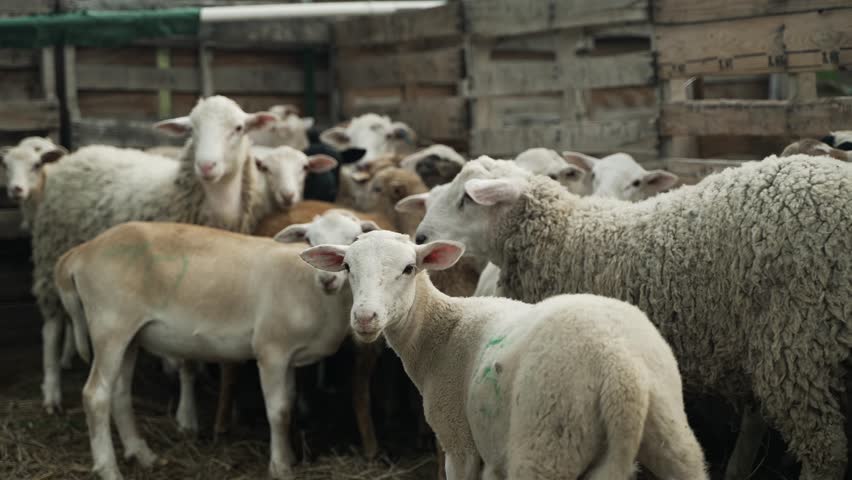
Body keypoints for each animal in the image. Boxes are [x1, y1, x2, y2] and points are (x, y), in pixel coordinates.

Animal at [31, 95, 280, 414]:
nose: (206, 165)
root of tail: (81, 153)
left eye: (238, 128)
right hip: (49, 253)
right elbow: (187, 360)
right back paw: (51, 393)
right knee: (50, 329)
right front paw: (187, 412)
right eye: (191, 130)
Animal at [53, 213, 372, 480]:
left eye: (354, 238)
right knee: (95, 396)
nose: (327, 279)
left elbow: (290, 403)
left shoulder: (288, 355)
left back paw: (143, 455)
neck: (309, 289)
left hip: (130, 334)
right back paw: (109, 469)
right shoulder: (271, 350)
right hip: (109, 324)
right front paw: (280, 466)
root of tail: (82, 251)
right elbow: (279, 411)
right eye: (308, 240)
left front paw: (290, 457)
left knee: (119, 393)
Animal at [300, 229, 704, 480]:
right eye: (348, 267)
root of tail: (622, 370)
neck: (439, 333)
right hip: (673, 434)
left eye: (409, 268)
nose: (365, 318)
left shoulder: (459, 442)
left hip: (548, 442)